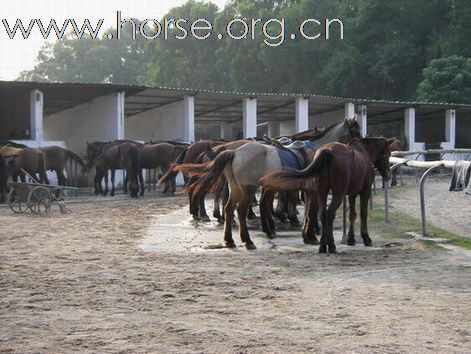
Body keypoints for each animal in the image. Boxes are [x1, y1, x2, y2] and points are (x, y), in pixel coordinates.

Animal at [262, 137, 394, 253]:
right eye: (387, 154)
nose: (388, 175)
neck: (364, 153)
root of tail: (327, 151)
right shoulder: (365, 192)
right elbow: (363, 214)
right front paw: (366, 238)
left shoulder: (352, 194)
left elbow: (352, 215)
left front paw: (351, 239)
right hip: (337, 193)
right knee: (330, 213)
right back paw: (331, 246)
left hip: (322, 192)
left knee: (323, 214)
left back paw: (322, 245)